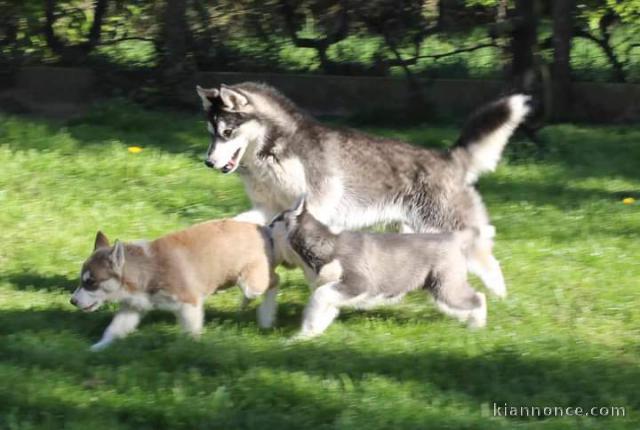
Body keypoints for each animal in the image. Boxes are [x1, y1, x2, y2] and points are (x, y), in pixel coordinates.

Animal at [71, 220, 278, 352]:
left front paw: (191, 348)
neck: (147, 269)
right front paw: (98, 347)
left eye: (91, 282)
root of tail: (263, 228)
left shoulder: (189, 303)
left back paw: (266, 316)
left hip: (250, 282)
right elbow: (114, 329)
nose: (72, 301)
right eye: (82, 280)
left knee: (274, 281)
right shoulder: (133, 307)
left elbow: (191, 330)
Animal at [195, 84, 528, 298]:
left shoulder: (314, 208)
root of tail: (447, 157)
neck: (274, 150)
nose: (209, 162)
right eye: (211, 133)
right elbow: (236, 223)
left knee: (488, 259)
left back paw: (499, 295)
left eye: (227, 132)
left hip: (447, 224)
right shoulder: (268, 208)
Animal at [268, 199, 484, 340]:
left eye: (274, 221)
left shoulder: (358, 282)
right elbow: (322, 310)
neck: (324, 243)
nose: (265, 226)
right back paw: (465, 319)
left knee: (478, 298)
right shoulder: (334, 290)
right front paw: (305, 336)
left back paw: (477, 326)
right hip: (439, 287)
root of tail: (453, 237)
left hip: (446, 286)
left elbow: (319, 296)